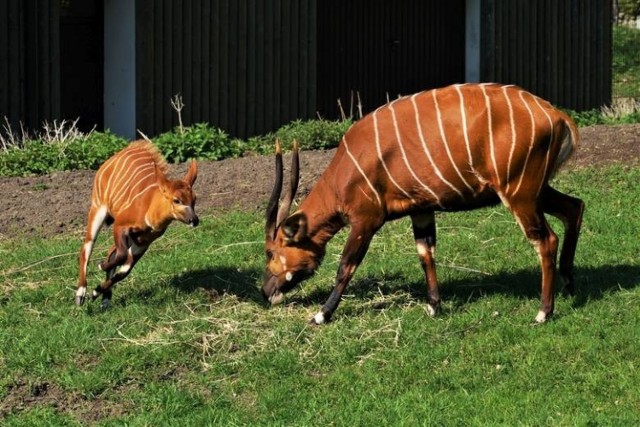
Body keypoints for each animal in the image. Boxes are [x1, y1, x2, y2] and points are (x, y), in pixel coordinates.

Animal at [74, 140, 198, 308]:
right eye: (176, 200)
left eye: (194, 199)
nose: (194, 220)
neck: (150, 210)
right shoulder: (120, 225)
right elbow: (121, 257)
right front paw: (99, 270)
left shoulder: (142, 243)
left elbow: (124, 270)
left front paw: (96, 292)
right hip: (97, 208)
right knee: (87, 247)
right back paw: (80, 294)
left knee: (111, 253)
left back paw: (105, 299)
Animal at [264, 83, 584, 324]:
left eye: (271, 252)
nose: (265, 290)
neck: (348, 167)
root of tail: (556, 115)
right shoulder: (421, 210)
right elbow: (425, 253)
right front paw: (434, 306)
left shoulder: (365, 220)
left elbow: (346, 266)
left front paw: (321, 315)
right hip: (535, 191)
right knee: (575, 207)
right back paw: (569, 285)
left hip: (520, 193)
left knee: (546, 239)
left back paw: (543, 312)